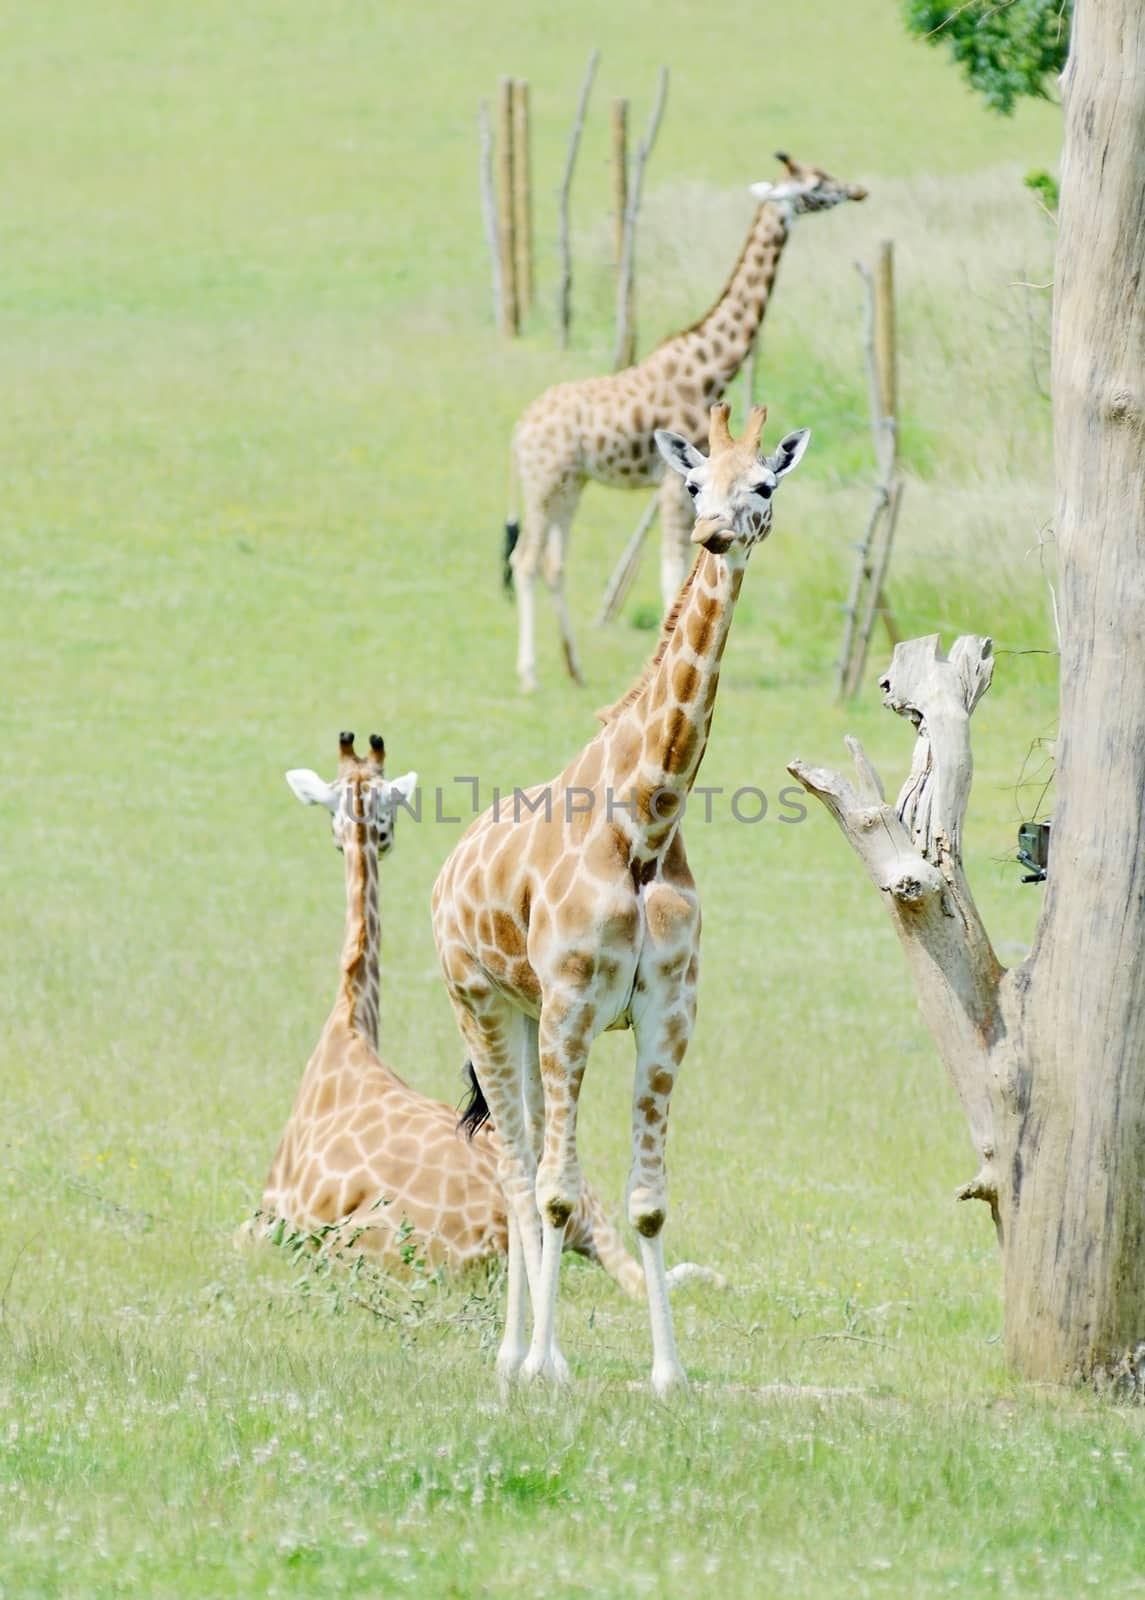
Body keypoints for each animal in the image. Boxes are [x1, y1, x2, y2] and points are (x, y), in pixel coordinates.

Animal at [434, 400, 809, 1388]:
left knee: (526, 1162)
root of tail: (449, 869)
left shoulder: (667, 1013)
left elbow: (645, 1202)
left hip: (524, 1017)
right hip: (482, 1005)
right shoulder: (571, 1006)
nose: (715, 533)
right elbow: (560, 1194)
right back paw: (512, 1358)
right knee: (518, 1171)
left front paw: (667, 1374)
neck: (642, 826)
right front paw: (550, 1368)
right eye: (692, 482)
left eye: (765, 483)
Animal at [505, 151, 863, 694]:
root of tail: (520, 428)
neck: (709, 364)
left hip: (571, 484)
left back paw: (574, 666)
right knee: (524, 559)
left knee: (552, 562)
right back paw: (528, 674)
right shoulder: (677, 483)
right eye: (816, 184)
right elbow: (672, 569)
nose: (858, 190)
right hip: (543, 481)